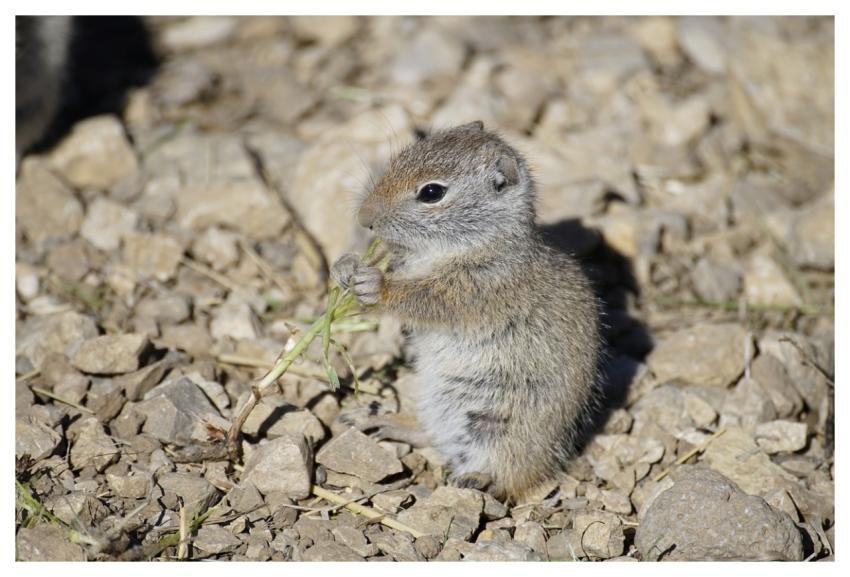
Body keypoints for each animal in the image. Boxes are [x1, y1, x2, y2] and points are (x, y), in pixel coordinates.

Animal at [332, 121, 602, 502]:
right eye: (399, 159)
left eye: (432, 192)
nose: (363, 218)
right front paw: (345, 266)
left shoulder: (473, 289)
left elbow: (421, 298)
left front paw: (374, 284)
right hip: (436, 405)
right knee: (431, 437)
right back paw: (378, 420)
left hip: (498, 428)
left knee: (510, 477)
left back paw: (475, 480)